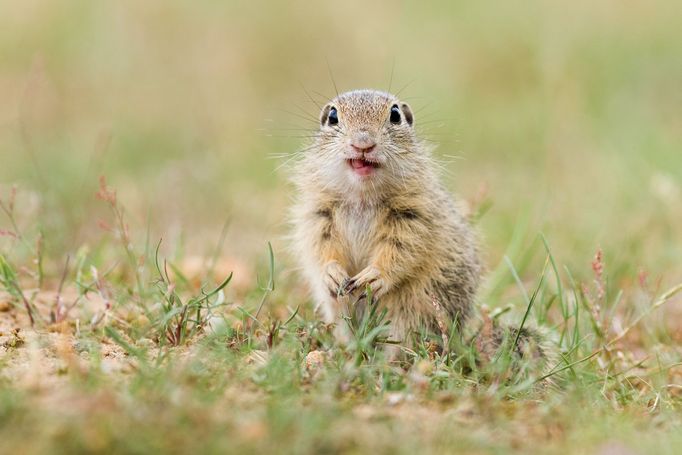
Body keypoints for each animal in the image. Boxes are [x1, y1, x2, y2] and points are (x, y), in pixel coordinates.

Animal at [290, 90, 548, 370]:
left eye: (395, 115)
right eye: (333, 117)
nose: (363, 144)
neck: (362, 195)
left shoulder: (414, 218)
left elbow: (402, 250)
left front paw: (375, 276)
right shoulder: (317, 216)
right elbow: (320, 246)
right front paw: (332, 273)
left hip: (413, 313)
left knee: (404, 345)